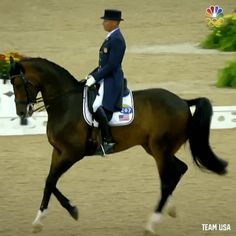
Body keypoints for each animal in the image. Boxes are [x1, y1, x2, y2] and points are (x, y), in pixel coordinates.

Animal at [8, 57, 228, 234]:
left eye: (18, 83)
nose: (21, 113)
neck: (65, 103)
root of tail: (182, 101)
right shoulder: (58, 151)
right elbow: (49, 182)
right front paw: (50, 217)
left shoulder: (72, 153)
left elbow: (50, 180)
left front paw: (59, 214)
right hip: (155, 148)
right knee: (178, 170)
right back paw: (169, 209)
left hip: (160, 148)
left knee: (168, 178)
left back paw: (152, 223)